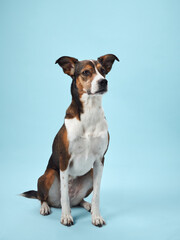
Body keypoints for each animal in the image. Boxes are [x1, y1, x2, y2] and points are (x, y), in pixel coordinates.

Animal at [21, 54, 119, 227]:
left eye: (103, 71)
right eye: (86, 72)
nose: (103, 82)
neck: (90, 112)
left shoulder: (99, 160)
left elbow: (97, 195)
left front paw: (96, 216)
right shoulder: (64, 159)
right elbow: (64, 194)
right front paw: (66, 217)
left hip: (90, 174)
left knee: (78, 201)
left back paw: (86, 205)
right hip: (48, 175)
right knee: (44, 197)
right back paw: (45, 207)